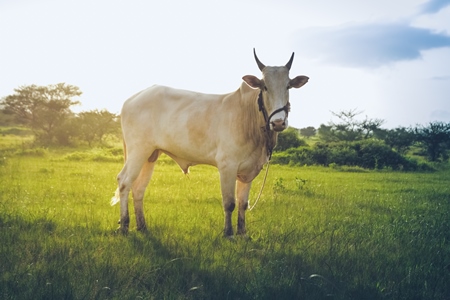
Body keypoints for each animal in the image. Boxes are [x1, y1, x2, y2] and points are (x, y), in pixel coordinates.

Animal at [112, 49, 310, 237]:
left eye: (288, 86)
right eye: (264, 87)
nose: (278, 122)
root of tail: (131, 99)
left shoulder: (248, 170)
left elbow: (243, 203)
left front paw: (243, 233)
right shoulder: (227, 165)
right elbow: (229, 203)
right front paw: (228, 233)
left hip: (150, 155)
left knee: (138, 188)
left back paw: (142, 227)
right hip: (138, 150)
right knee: (124, 181)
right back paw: (124, 226)